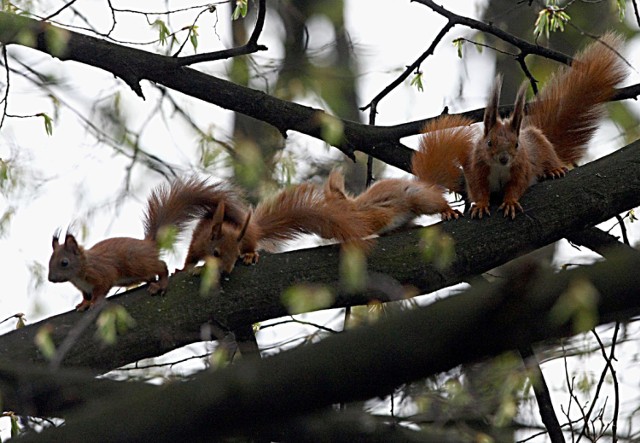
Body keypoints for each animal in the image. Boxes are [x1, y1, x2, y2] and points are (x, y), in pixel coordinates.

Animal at [47, 177, 242, 312]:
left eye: (64, 262)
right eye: (50, 261)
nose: (51, 279)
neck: (80, 271)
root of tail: (149, 245)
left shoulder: (102, 273)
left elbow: (102, 288)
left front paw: (94, 302)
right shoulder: (84, 287)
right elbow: (86, 295)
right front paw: (84, 303)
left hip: (137, 264)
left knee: (161, 266)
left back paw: (161, 283)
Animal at [181, 182, 370, 276]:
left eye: (235, 255)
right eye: (215, 253)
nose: (226, 271)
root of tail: (255, 228)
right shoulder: (197, 242)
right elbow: (190, 257)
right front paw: (188, 268)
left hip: (248, 238)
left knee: (252, 246)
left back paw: (250, 255)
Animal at [462, 32, 628, 219]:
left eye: (517, 144)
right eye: (489, 143)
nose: (504, 159)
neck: (499, 167)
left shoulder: (522, 167)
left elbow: (516, 186)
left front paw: (510, 202)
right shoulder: (476, 168)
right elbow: (479, 190)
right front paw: (481, 205)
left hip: (544, 148)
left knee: (550, 159)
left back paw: (554, 170)